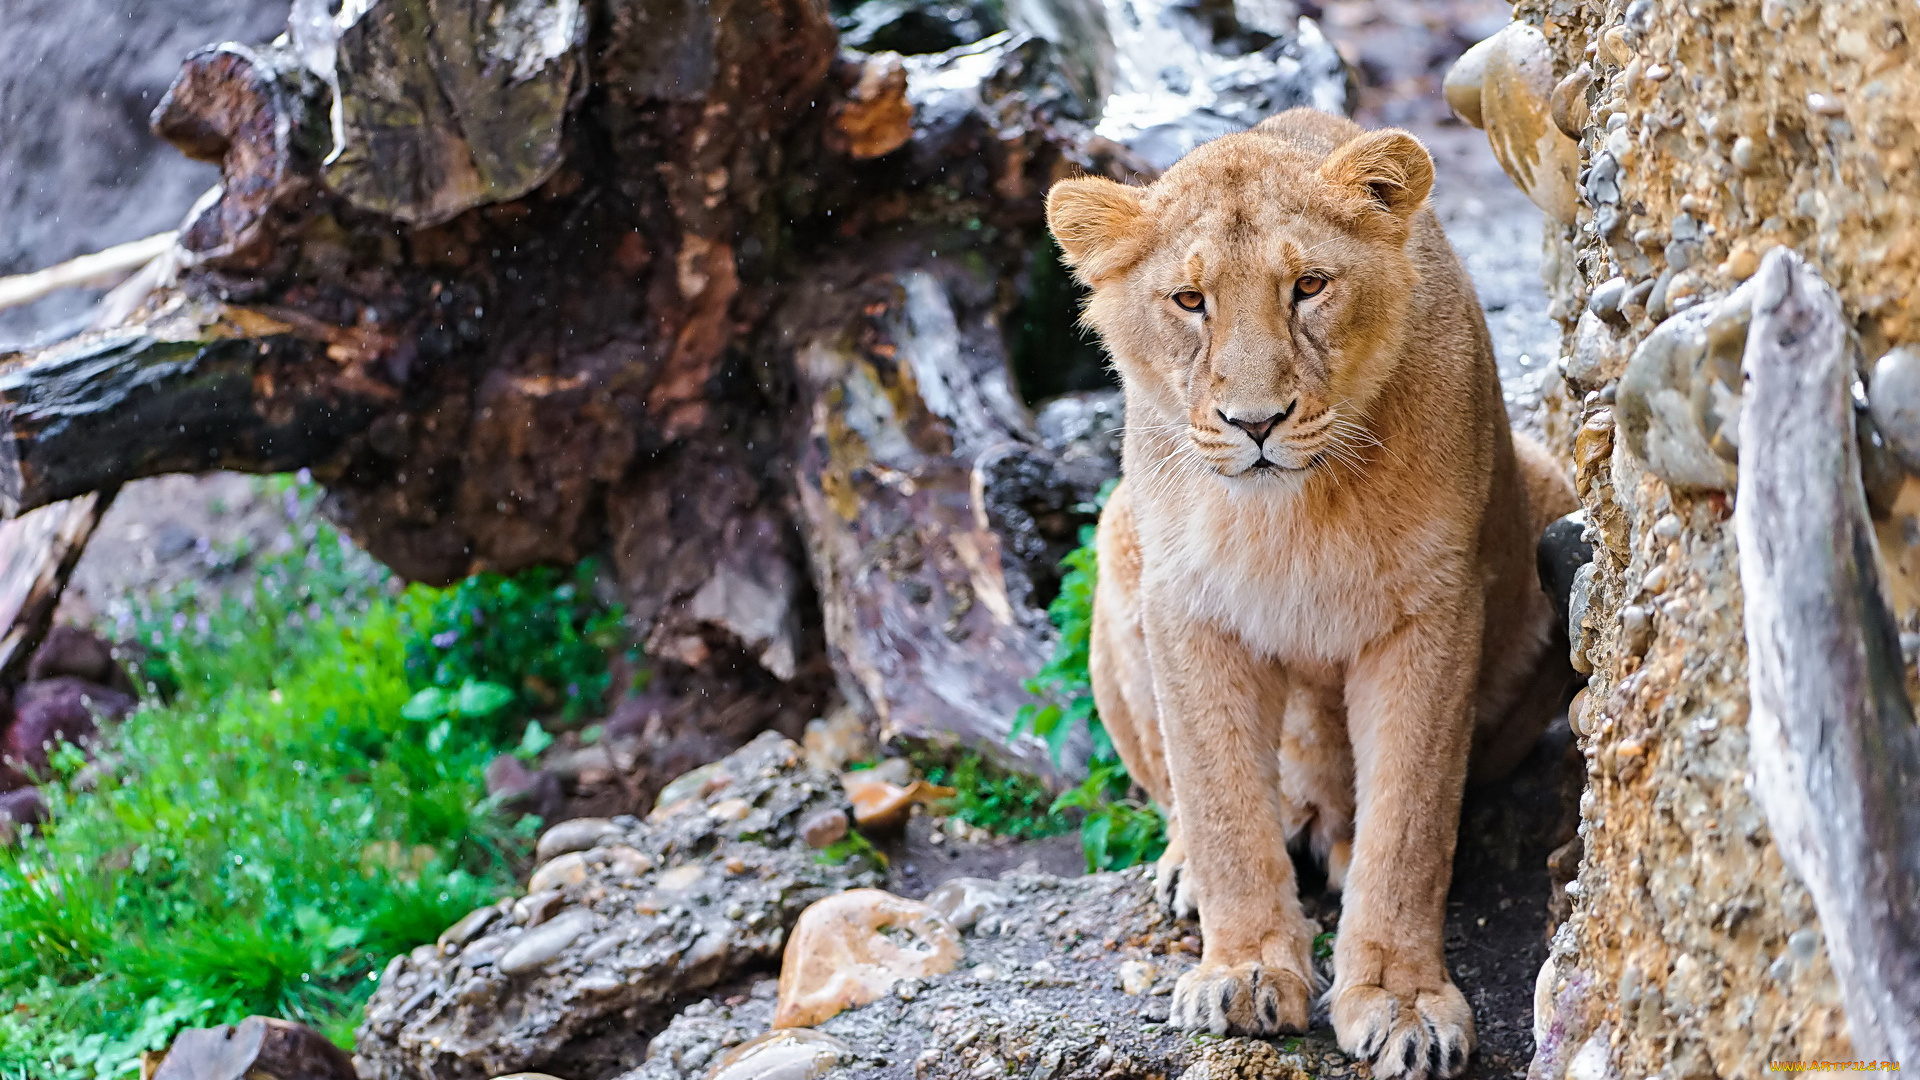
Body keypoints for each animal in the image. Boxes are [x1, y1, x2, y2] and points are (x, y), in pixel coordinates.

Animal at [1052, 102, 1574, 1076]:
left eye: (1309, 287)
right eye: (1190, 302)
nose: (1254, 423)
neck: (1292, 512)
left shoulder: (1431, 615)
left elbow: (1408, 824)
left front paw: (1402, 1001)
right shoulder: (1189, 611)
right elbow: (1221, 806)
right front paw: (1245, 971)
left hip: (1550, 493)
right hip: (1115, 534)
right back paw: (1187, 870)